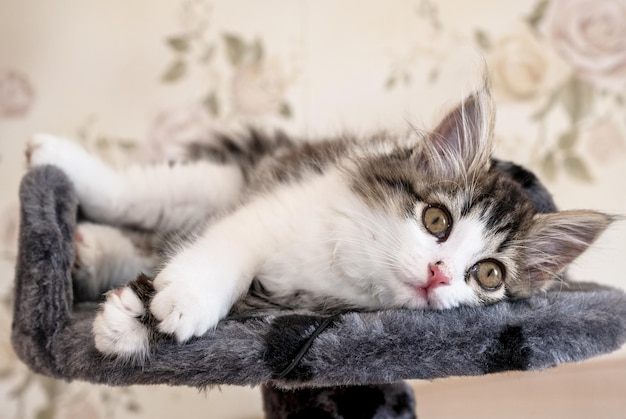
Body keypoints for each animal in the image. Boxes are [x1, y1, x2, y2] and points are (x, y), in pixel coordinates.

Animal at [28, 86, 608, 360]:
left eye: (488, 275)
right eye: (436, 220)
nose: (440, 274)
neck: (359, 266)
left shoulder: (292, 304)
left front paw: (129, 322)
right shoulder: (273, 209)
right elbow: (225, 251)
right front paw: (182, 300)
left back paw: (88, 252)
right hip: (215, 184)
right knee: (138, 196)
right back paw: (54, 156)